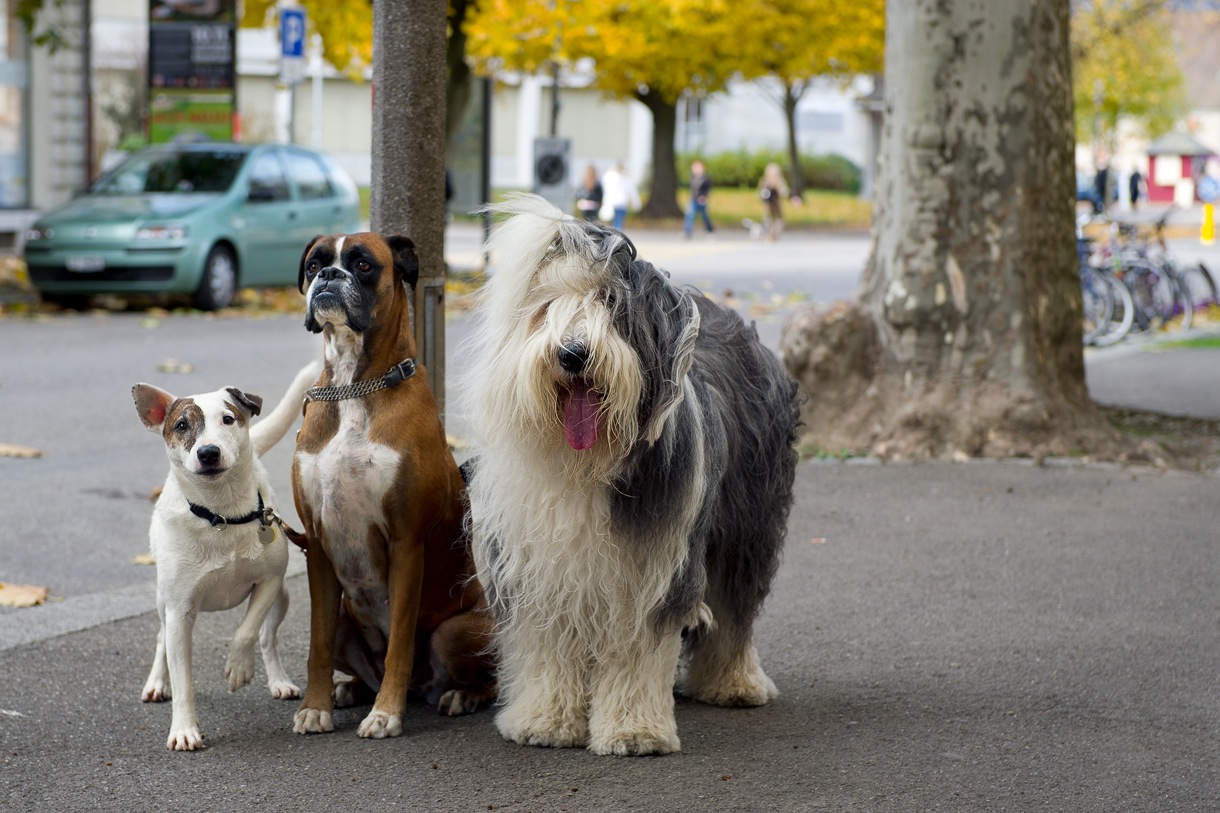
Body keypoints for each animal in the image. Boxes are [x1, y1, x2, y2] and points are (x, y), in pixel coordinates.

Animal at [133, 358, 319, 751]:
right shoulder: (179, 611)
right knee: (160, 639)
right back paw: (157, 683)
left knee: (267, 637)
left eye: (228, 419)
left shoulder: (269, 582)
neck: (221, 515)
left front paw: (238, 668)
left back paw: (278, 680)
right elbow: (183, 678)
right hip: (162, 602)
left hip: (283, 596)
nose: (208, 453)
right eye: (182, 425)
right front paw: (184, 729)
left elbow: (247, 632)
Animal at [290, 230, 495, 737]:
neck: (352, 385)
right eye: (314, 264)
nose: (329, 275)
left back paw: (460, 695)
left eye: (363, 264)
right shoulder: (317, 544)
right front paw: (316, 705)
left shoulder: (406, 543)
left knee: (488, 679)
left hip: (454, 632)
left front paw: (386, 714)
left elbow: (401, 638)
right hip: (348, 618)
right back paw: (351, 688)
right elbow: (317, 642)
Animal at [458, 195, 800, 751]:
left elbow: (639, 651)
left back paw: (734, 683)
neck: (585, 463)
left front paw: (634, 730)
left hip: (747, 522)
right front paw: (544, 721)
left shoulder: (653, 565)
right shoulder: (539, 565)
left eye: (610, 302)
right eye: (547, 306)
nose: (572, 354)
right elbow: (547, 643)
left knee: (734, 606)